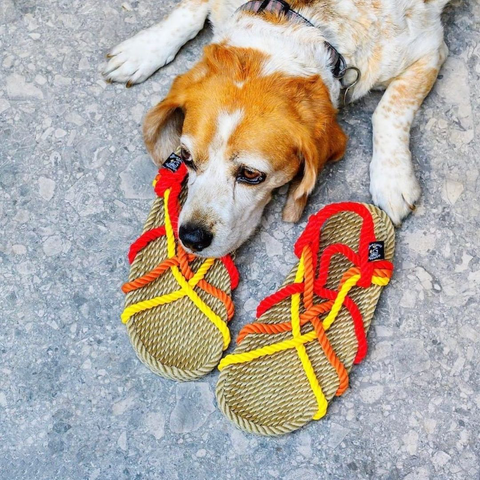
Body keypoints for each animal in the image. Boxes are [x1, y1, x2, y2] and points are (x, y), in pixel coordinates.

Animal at [104, 0, 450, 258]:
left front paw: (392, 179)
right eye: (186, 157)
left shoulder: (430, 49)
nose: (191, 238)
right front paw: (144, 49)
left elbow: (390, 109)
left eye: (251, 175)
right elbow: (189, 11)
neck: (299, 22)